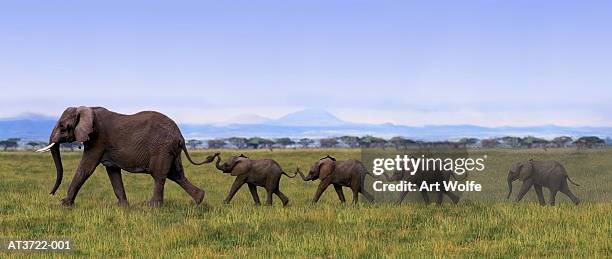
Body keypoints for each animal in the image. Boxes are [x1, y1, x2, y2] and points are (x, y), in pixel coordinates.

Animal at [35, 106, 218, 207]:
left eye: (62, 126)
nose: (51, 194)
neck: (87, 108)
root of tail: (180, 136)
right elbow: (112, 171)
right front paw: (122, 207)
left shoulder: (98, 138)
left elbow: (86, 167)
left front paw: (64, 204)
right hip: (171, 150)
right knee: (176, 174)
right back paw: (199, 199)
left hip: (161, 148)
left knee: (159, 175)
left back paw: (152, 207)